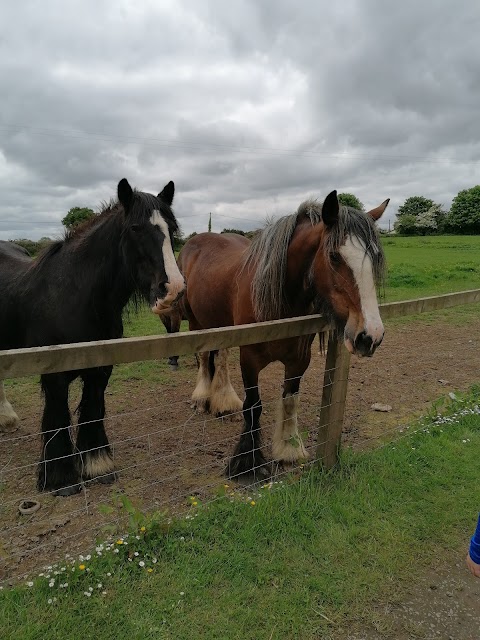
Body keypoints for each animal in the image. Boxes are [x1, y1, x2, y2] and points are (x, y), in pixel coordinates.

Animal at [0, 178, 185, 498]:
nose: (172, 289)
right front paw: (61, 479)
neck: (74, 296)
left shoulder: (100, 371)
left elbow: (93, 410)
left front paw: (98, 466)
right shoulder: (55, 376)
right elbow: (58, 418)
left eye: (171, 228)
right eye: (135, 228)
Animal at [174, 190, 388, 480]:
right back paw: (202, 398)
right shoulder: (249, 359)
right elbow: (254, 406)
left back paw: (224, 402)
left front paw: (288, 450)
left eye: (375, 257)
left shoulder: (299, 360)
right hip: (198, 323)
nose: (370, 336)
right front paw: (248, 462)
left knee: (220, 359)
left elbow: (289, 401)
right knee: (205, 357)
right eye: (334, 256)